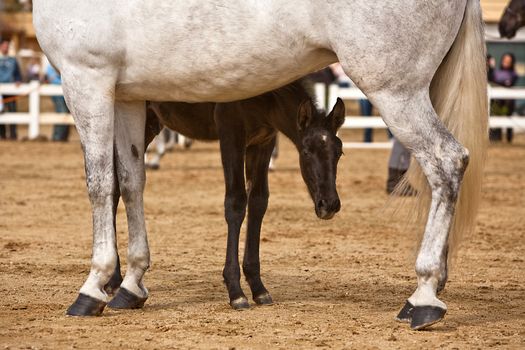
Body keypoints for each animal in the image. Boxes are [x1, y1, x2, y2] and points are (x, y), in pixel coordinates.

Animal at [106, 80, 344, 310]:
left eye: (339, 152)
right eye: (306, 151)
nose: (329, 204)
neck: (265, 96)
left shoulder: (263, 141)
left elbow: (258, 202)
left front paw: (258, 286)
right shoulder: (231, 135)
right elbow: (236, 203)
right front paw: (236, 291)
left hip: (149, 123)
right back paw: (113, 279)